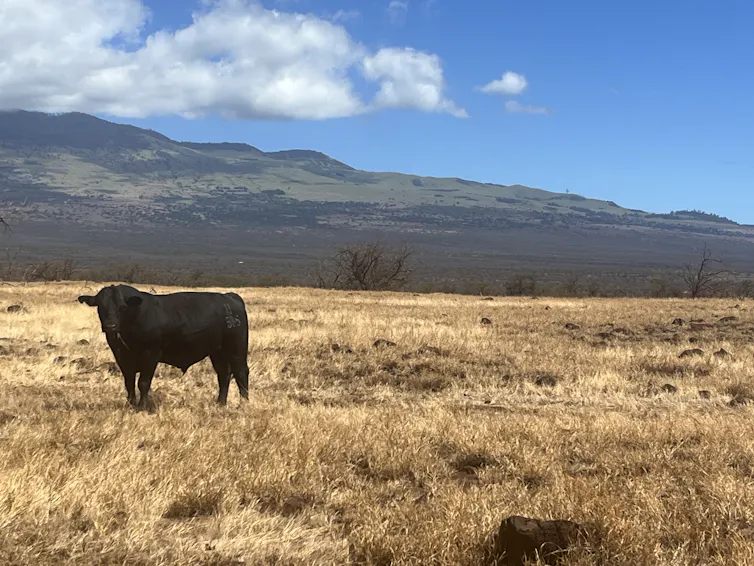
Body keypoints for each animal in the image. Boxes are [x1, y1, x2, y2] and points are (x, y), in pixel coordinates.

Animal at [77, 284, 250, 409]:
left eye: (122, 307)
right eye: (100, 306)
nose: (110, 326)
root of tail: (230, 297)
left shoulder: (150, 354)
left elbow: (143, 382)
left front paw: (142, 407)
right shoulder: (122, 357)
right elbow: (129, 383)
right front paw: (131, 404)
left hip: (237, 349)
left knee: (241, 372)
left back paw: (244, 403)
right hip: (218, 352)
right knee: (224, 374)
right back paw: (220, 403)